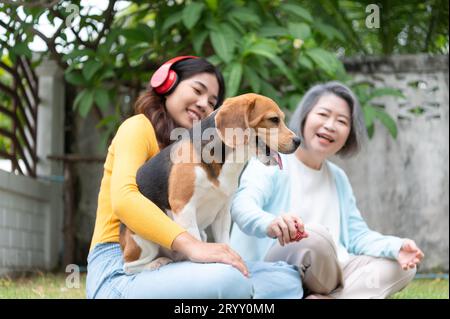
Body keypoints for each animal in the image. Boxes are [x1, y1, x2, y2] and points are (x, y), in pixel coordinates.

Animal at [121, 94, 300, 274]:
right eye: (274, 119)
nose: (298, 141)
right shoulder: (183, 207)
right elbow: (195, 241)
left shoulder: (223, 212)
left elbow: (224, 241)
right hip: (142, 238)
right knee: (129, 266)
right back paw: (156, 263)